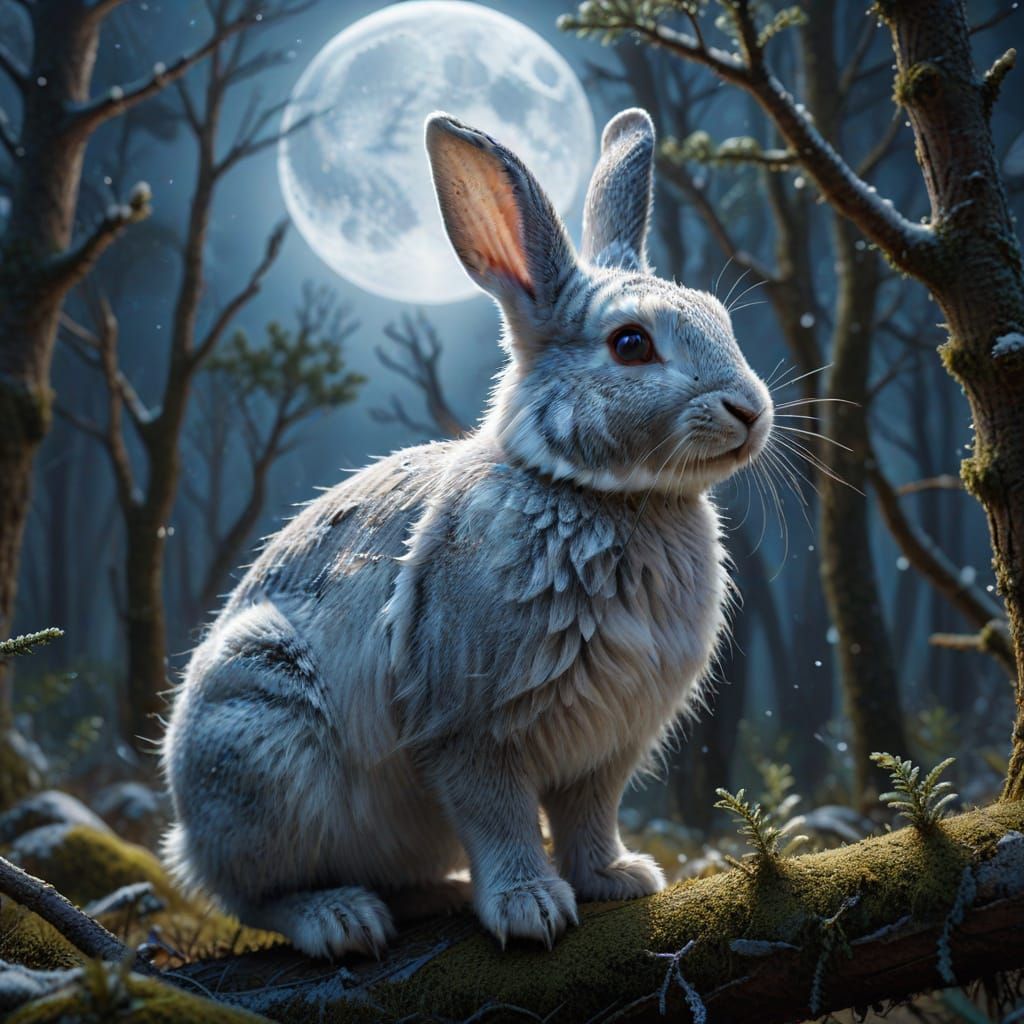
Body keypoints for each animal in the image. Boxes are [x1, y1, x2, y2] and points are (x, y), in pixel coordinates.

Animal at [161, 107, 773, 960]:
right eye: (630, 344)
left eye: (719, 318)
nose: (750, 410)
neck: (599, 494)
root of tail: (184, 838)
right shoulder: (468, 728)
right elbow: (499, 816)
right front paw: (531, 909)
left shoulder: (606, 748)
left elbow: (588, 816)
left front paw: (617, 878)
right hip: (258, 730)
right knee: (254, 893)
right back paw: (341, 921)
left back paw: (434, 894)